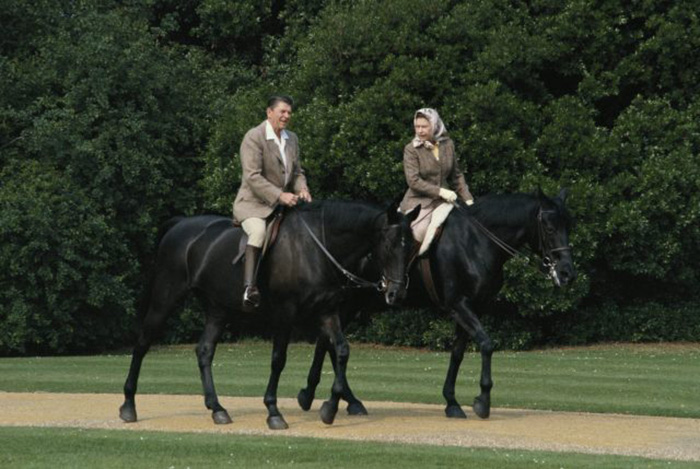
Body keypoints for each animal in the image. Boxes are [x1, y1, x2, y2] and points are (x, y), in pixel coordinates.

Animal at [117, 199, 418, 430]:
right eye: (390, 244)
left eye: (412, 245)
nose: (397, 293)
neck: (316, 248)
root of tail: (180, 224)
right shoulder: (285, 314)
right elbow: (278, 360)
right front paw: (274, 411)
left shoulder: (328, 312)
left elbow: (341, 351)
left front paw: (330, 408)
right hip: (165, 299)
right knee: (142, 344)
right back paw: (129, 405)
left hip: (217, 309)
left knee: (204, 351)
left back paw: (217, 408)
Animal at [296, 188, 576, 418]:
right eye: (549, 227)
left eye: (568, 226)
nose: (566, 273)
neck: (476, 241)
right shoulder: (458, 305)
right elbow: (486, 344)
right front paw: (483, 400)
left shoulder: (473, 307)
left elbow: (458, 352)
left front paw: (452, 402)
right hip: (349, 303)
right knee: (329, 343)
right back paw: (329, 397)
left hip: (353, 304)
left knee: (326, 342)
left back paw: (331, 397)